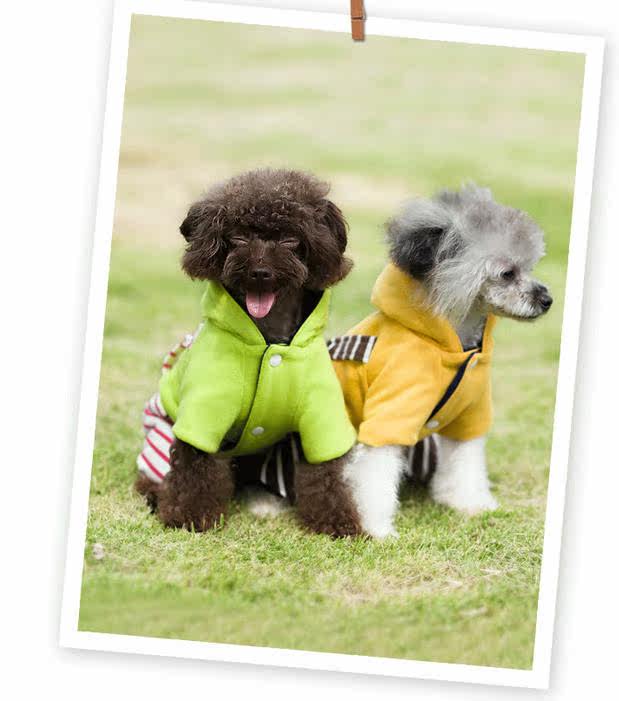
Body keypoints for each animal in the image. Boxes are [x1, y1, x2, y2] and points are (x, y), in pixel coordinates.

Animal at [135, 168, 362, 535]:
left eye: (290, 239)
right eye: (239, 238)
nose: (260, 272)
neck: (270, 340)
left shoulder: (320, 415)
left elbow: (325, 473)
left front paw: (338, 522)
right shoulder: (204, 411)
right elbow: (195, 466)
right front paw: (189, 517)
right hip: (162, 431)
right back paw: (156, 495)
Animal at [250, 184, 553, 539]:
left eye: (529, 267)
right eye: (507, 273)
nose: (547, 300)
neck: (451, 346)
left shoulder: (469, 413)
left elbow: (466, 463)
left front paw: (470, 503)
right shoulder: (390, 415)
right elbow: (376, 479)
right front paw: (376, 529)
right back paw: (266, 504)